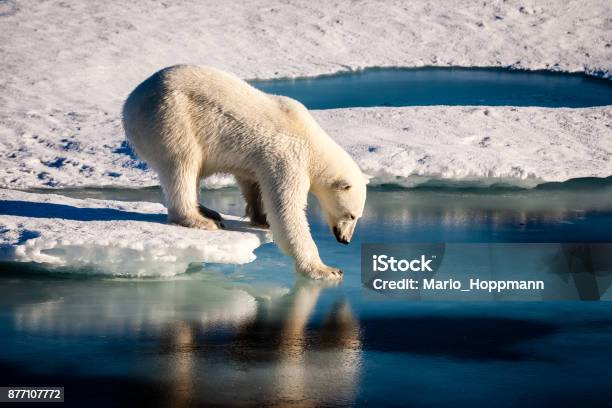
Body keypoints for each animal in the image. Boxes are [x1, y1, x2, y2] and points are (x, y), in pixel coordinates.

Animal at [122, 64, 366, 280]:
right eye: (351, 215)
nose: (345, 240)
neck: (311, 141)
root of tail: (130, 103)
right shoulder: (288, 157)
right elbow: (287, 210)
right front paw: (326, 269)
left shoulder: (260, 160)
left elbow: (252, 182)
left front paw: (261, 218)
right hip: (171, 118)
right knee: (183, 164)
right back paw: (200, 220)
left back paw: (209, 211)